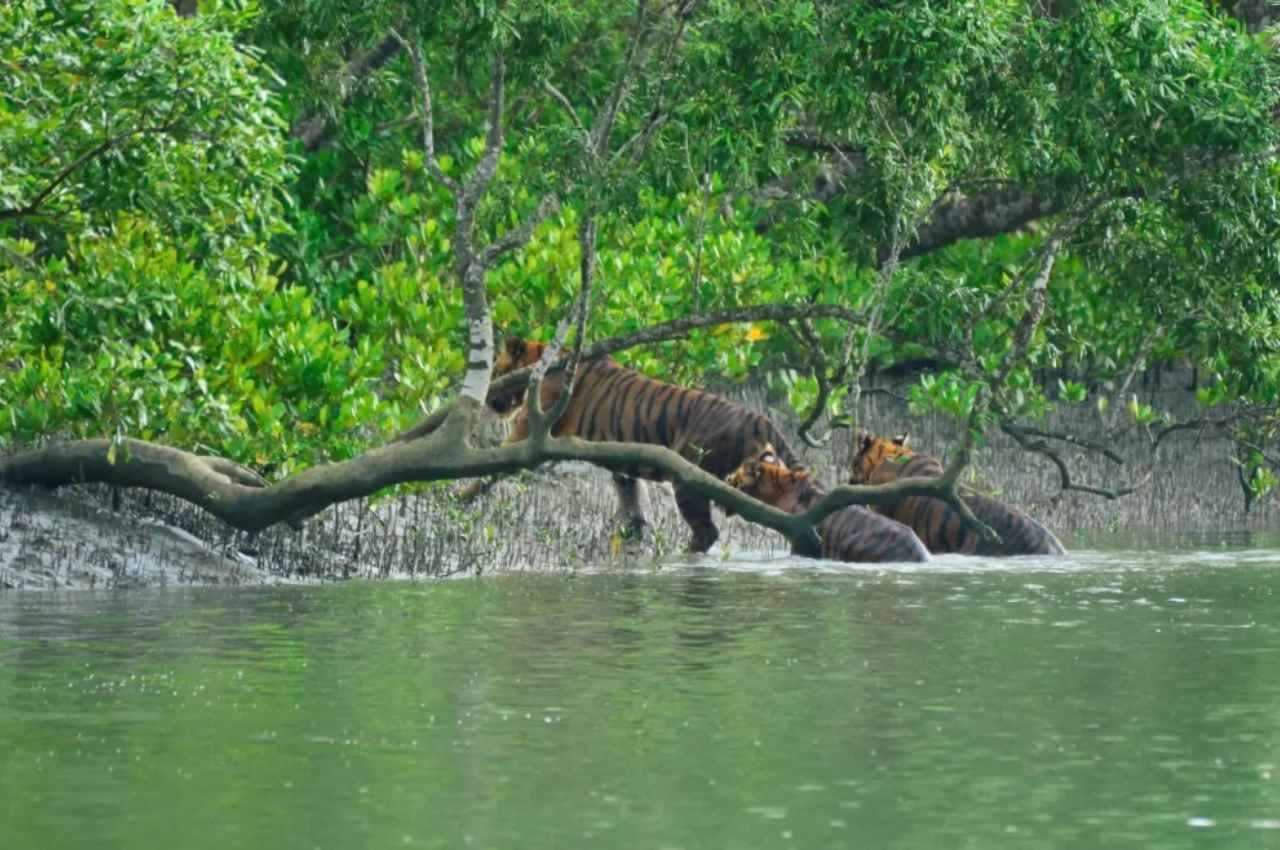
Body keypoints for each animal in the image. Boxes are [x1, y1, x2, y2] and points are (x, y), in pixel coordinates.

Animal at [488, 336, 803, 552]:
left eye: (495, 371)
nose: (489, 400)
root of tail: (760, 418)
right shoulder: (623, 460)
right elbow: (631, 496)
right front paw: (634, 534)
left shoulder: (529, 427)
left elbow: (496, 456)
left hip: (690, 481)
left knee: (707, 531)